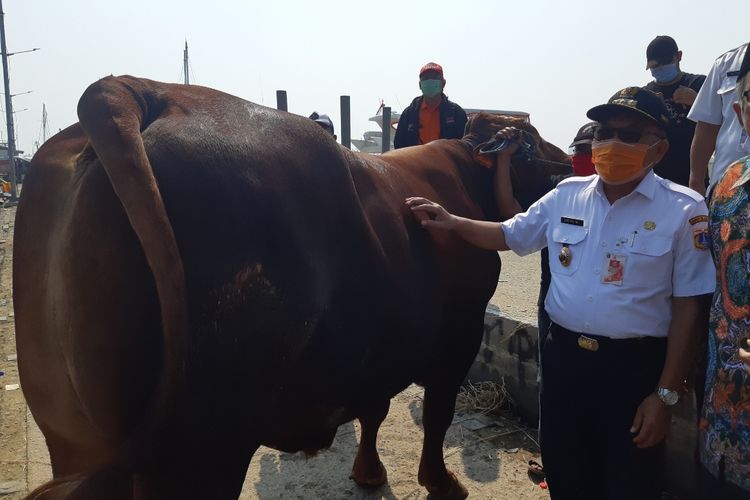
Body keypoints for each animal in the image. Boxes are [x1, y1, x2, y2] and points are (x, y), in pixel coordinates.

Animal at [14, 75, 568, 500]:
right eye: (531, 139)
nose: (567, 162)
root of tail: (141, 88)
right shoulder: (459, 332)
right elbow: (437, 414)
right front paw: (441, 482)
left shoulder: (377, 343)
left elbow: (375, 407)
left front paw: (368, 472)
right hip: (200, 443)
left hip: (71, 432)